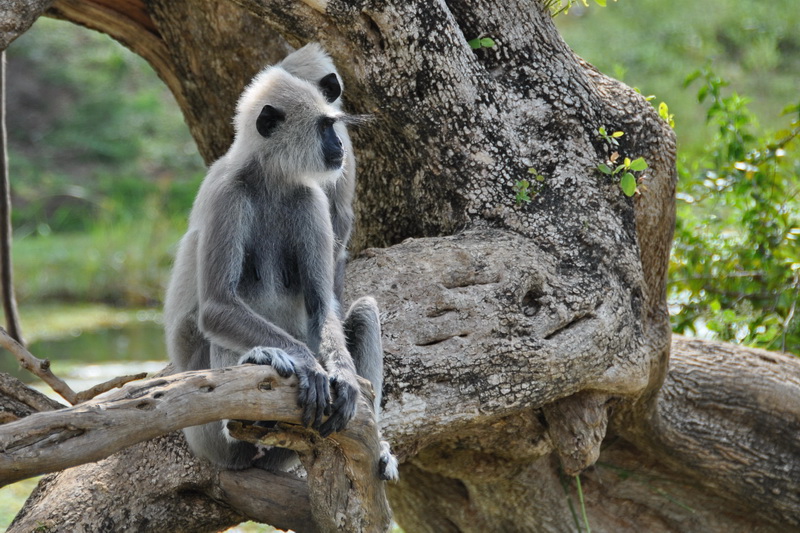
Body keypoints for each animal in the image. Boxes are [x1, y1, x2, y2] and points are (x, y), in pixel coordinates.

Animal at [165, 50, 396, 478]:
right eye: (324, 127)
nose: (338, 144)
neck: (269, 177)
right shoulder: (226, 195)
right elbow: (217, 305)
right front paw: (308, 364)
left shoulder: (309, 197)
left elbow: (322, 305)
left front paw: (341, 375)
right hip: (206, 437)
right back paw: (258, 369)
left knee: (364, 312)